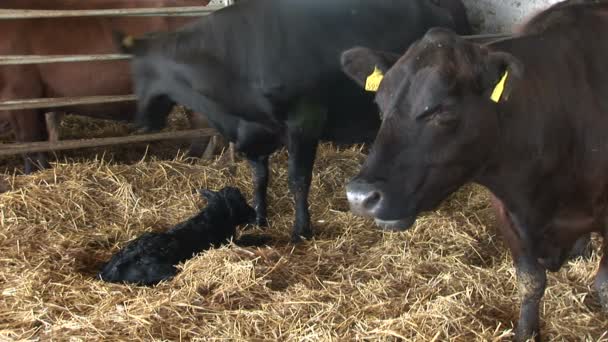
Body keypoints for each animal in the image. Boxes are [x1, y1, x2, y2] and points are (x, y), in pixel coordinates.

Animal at [115, 0, 476, 242]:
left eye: (139, 74)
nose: (141, 123)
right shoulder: (255, 132)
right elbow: (259, 177)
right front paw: (259, 217)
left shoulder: (305, 121)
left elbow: (298, 179)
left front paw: (301, 229)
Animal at [340, 1, 608, 340]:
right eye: (379, 105)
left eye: (443, 109)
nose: (360, 196)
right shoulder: (507, 210)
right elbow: (530, 283)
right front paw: (526, 333)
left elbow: (604, 286)